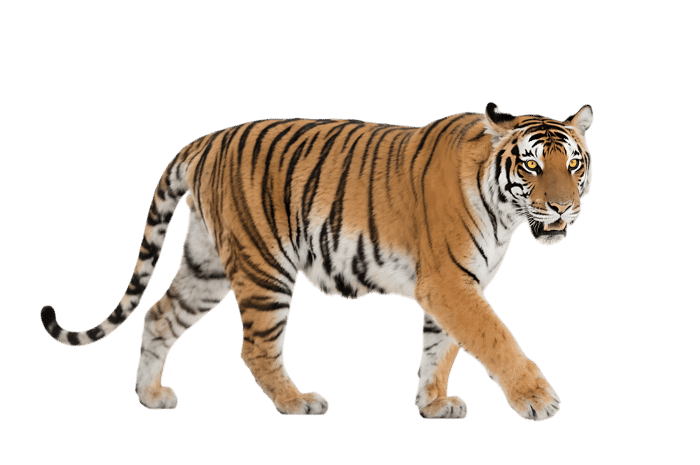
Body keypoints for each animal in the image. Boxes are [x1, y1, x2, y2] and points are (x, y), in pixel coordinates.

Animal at [40, 102, 593, 421]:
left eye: (574, 163)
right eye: (531, 165)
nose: (562, 207)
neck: (505, 212)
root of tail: (206, 140)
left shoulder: (453, 287)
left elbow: (441, 349)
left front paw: (433, 404)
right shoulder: (451, 284)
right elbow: (496, 339)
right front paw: (537, 399)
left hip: (207, 266)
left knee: (158, 316)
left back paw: (150, 396)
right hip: (265, 268)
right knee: (255, 348)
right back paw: (297, 402)